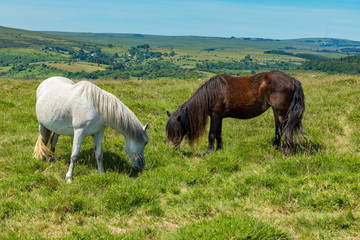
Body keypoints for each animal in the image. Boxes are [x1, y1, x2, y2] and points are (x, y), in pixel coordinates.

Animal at [165, 70, 304, 155]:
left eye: (176, 129)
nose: (171, 148)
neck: (211, 94)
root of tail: (291, 79)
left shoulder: (215, 116)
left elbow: (211, 134)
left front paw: (208, 152)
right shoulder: (219, 117)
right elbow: (219, 134)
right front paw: (219, 149)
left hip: (281, 112)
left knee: (287, 129)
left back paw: (287, 151)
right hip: (276, 111)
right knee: (279, 129)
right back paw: (275, 147)